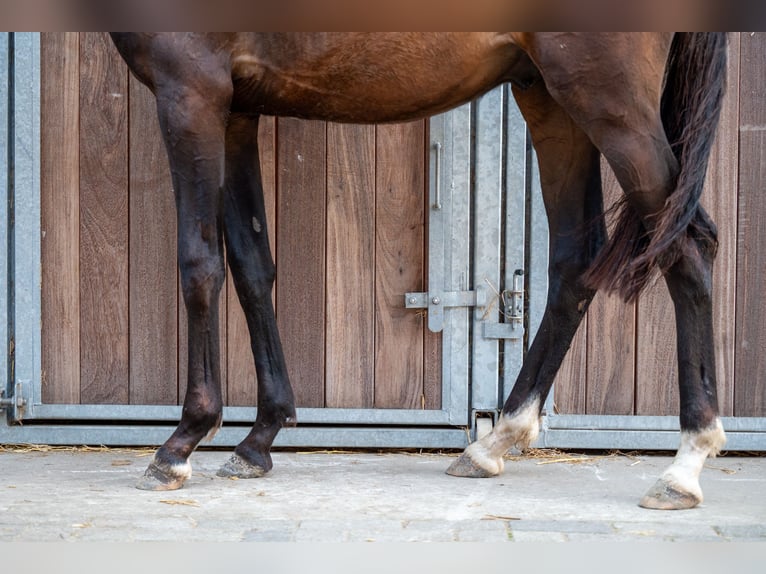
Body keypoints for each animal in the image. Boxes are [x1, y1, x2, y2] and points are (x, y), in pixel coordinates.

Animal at [109, 32, 732, 508]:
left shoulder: (191, 92)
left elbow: (200, 266)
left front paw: (181, 443)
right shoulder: (237, 109)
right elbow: (251, 265)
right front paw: (259, 438)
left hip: (610, 101)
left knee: (687, 250)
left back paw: (685, 466)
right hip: (553, 100)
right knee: (576, 263)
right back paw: (493, 443)